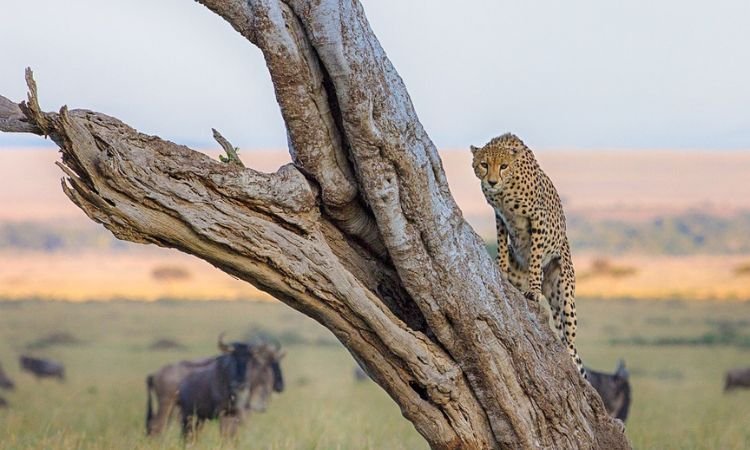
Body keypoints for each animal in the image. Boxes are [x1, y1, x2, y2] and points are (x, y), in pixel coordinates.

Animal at [471, 133, 586, 378]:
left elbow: (535, 256)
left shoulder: (538, 218)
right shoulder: (500, 216)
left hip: (565, 294)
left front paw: (533, 289)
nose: (492, 182)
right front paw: (500, 269)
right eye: (484, 164)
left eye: (503, 166)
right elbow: (502, 247)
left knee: (570, 342)